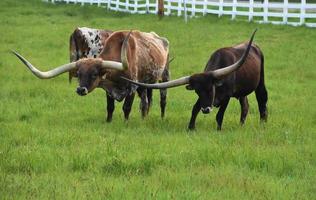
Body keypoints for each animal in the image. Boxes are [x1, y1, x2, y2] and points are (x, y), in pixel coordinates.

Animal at [121, 28, 266, 130]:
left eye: (210, 88)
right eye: (197, 91)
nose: (206, 110)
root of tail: (254, 46)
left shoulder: (227, 96)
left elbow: (219, 115)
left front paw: (218, 129)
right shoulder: (203, 99)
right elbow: (195, 108)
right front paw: (191, 127)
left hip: (260, 82)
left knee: (262, 98)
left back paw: (263, 123)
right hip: (242, 91)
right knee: (245, 105)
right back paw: (241, 124)